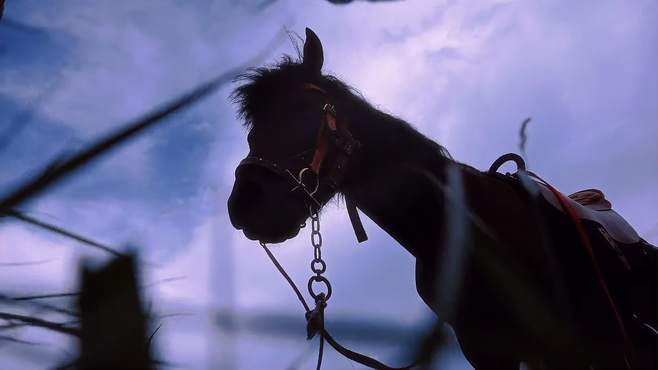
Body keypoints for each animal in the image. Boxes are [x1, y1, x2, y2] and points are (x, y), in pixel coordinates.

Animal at [224, 27, 652, 368]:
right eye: (251, 129)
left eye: (306, 107)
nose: (245, 204)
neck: (464, 228)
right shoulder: (488, 349)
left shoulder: (591, 338)